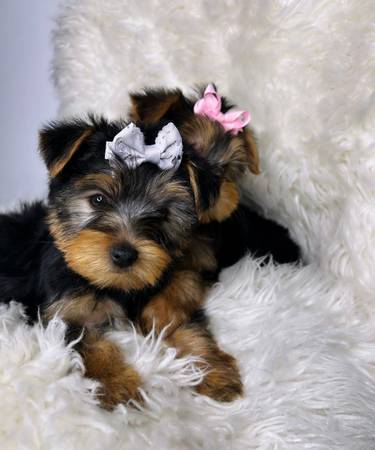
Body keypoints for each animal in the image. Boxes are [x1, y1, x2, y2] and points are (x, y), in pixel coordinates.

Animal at [0, 84, 300, 408]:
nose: (124, 254)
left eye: (162, 214)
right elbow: (89, 345)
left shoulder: (185, 276)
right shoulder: (62, 316)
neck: (119, 286)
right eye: (98, 199)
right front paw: (119, 386)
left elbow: (184, 325)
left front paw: (214, 372)